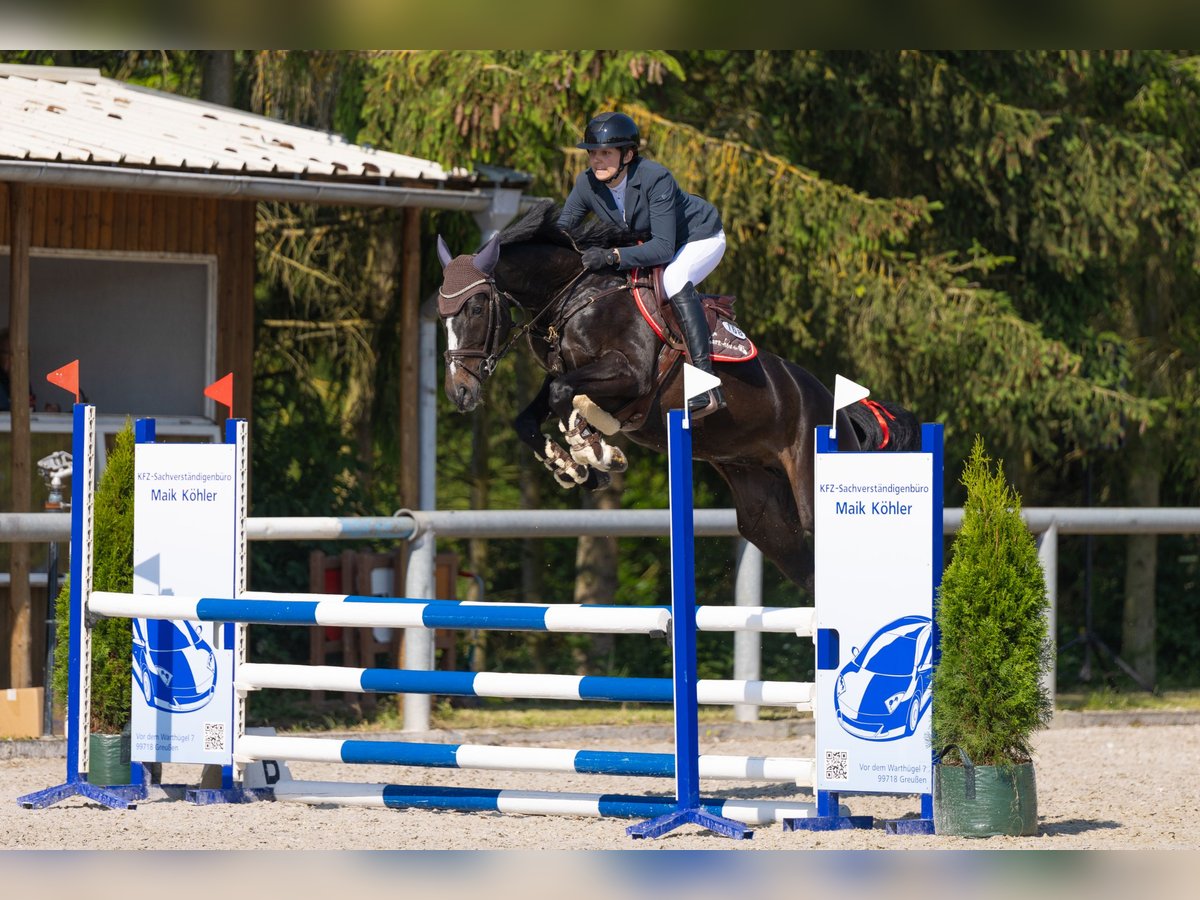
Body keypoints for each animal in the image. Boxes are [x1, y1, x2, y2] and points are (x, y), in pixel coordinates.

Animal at [439, 199, 916, 592]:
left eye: (476, 308)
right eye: (441, 316)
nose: (460, 393)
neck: (575, 295)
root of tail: (838, 409)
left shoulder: (629, 376)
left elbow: (566, 397)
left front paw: (597, 454)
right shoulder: (570, 375)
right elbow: (532, 415)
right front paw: (573, 468)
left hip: (816, 490)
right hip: (766, 517)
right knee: (810, 572)